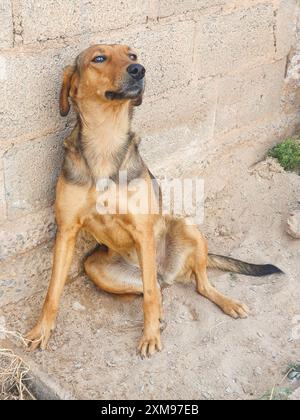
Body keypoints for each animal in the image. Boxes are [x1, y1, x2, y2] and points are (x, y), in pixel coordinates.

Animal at [25, 43, 282, 358]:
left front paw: (149, 336)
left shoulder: (142, 230)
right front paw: (41, 331)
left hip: (186, 229)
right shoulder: (66, 231)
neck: (105, 141)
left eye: (132, 55)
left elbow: (148, 295)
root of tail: (167, 271)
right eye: (99, 58)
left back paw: (227, 302)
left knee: (194, 284)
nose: (139, 70)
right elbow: (52, 292)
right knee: (157, 288)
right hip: (96, 268)